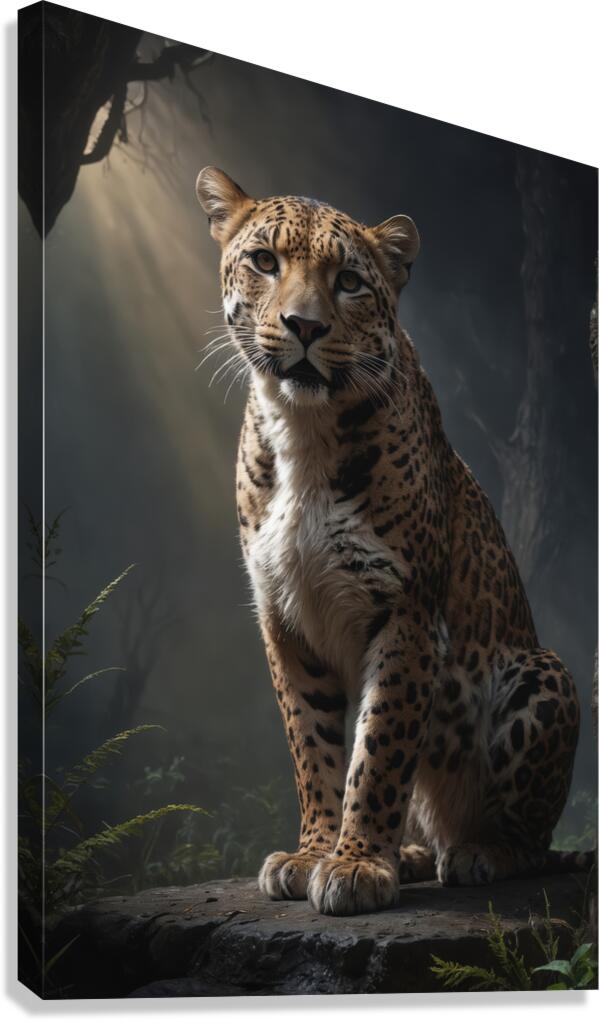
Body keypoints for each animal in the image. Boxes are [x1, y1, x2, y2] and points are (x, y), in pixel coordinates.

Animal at [195, 166, 591, 916]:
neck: (303, 430)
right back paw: (409, 853)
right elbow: (314, 748)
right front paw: (315, 852)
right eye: (265, 261)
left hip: (542, 672)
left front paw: (354, 865)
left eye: (349, 281)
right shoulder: (284, 616)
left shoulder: (403, 610)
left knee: (530, 840)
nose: (304, 325)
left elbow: (378, 750)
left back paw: (477, 852)